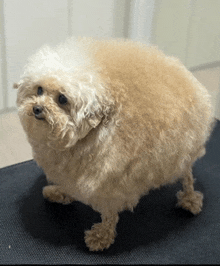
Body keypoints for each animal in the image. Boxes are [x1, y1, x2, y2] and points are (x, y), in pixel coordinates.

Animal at [13, 37, 215, 251]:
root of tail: (185, 74)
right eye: (39, 89)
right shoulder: (71, 170)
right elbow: (69, 184)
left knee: (187, 177)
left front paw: (101, 236)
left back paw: (190, 199)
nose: (37, 108)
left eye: (62, 99)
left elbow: (109, 214)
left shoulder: (111, 182)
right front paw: (60, 192)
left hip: (184, 152)